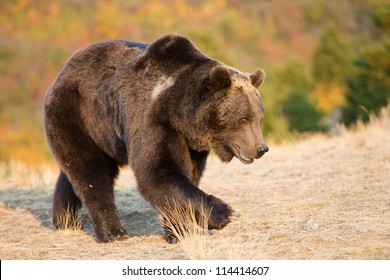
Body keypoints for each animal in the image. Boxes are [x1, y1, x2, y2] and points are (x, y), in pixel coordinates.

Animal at [42, 34, 268, 242]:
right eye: (244, 118)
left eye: (259, 118)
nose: (261, 148)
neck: (180, 113)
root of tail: (62, 73)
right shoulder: (152, 120)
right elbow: (156, 171)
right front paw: (225, 213)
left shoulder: (190, 143)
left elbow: (187, 175)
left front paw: (178, 230)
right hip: (78, 115)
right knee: (91, 172)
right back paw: (113, 232)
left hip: (98, 134)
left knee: (73, 173)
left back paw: (64, 220)